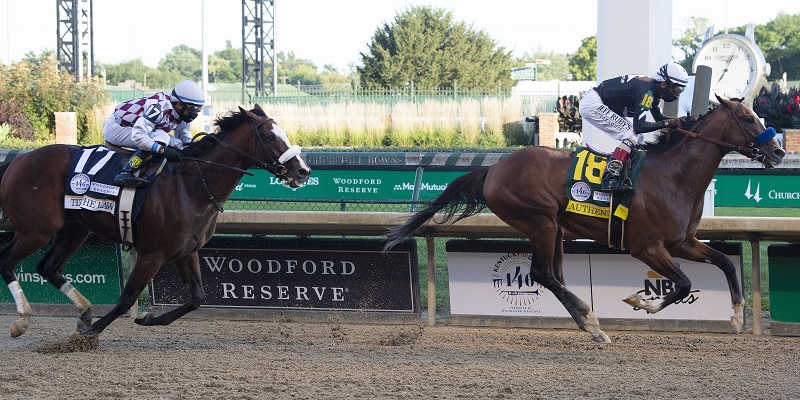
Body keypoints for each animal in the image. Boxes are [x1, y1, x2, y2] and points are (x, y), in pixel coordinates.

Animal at [0, 103, 310, 338]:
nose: (303, 170)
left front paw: (147, 319)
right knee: (7, 261)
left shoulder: (187, 251)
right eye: (271, 137)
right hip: (35, 230)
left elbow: (197, 297)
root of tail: (17, 160)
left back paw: (85, 312)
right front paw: (91, 333)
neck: (192, 184)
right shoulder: (152, 254)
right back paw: (22, 320)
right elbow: (127, 298)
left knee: (48, 267)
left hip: (73, 230)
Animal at [386, 95, 788, 342]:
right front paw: (642, 302)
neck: (672, 175)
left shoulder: (682, 243)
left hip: (553, 229)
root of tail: (493, 169)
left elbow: (725, 263)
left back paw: (588, 323)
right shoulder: (645, 246)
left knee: (553, 275)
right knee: (542, 274)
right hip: (542, 221)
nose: (778, 151)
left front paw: (736, 316)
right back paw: (592, 321)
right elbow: (684, 284)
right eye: (749, 118)